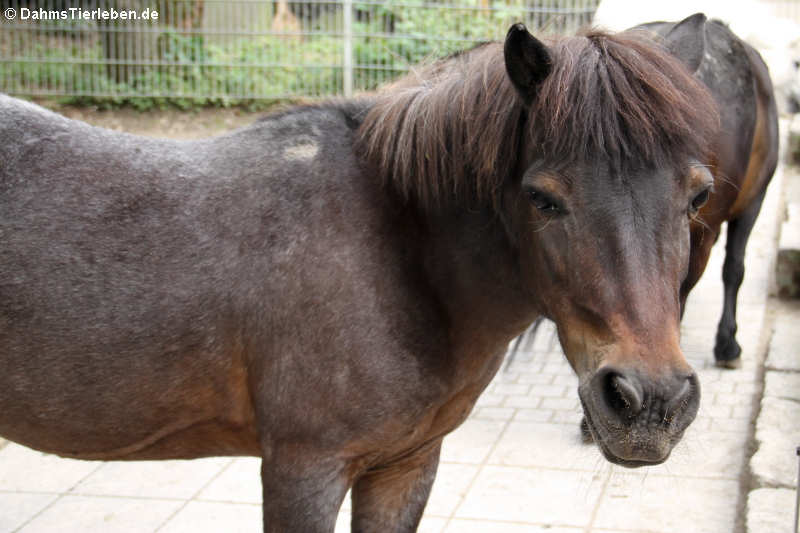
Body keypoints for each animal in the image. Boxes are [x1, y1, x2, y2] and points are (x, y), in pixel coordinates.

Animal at [1, 26, 720, 532]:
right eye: (544, 198)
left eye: (697, 194)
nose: (649, 404)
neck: (399, 255)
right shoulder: (304, 470)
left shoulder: (405, 463)